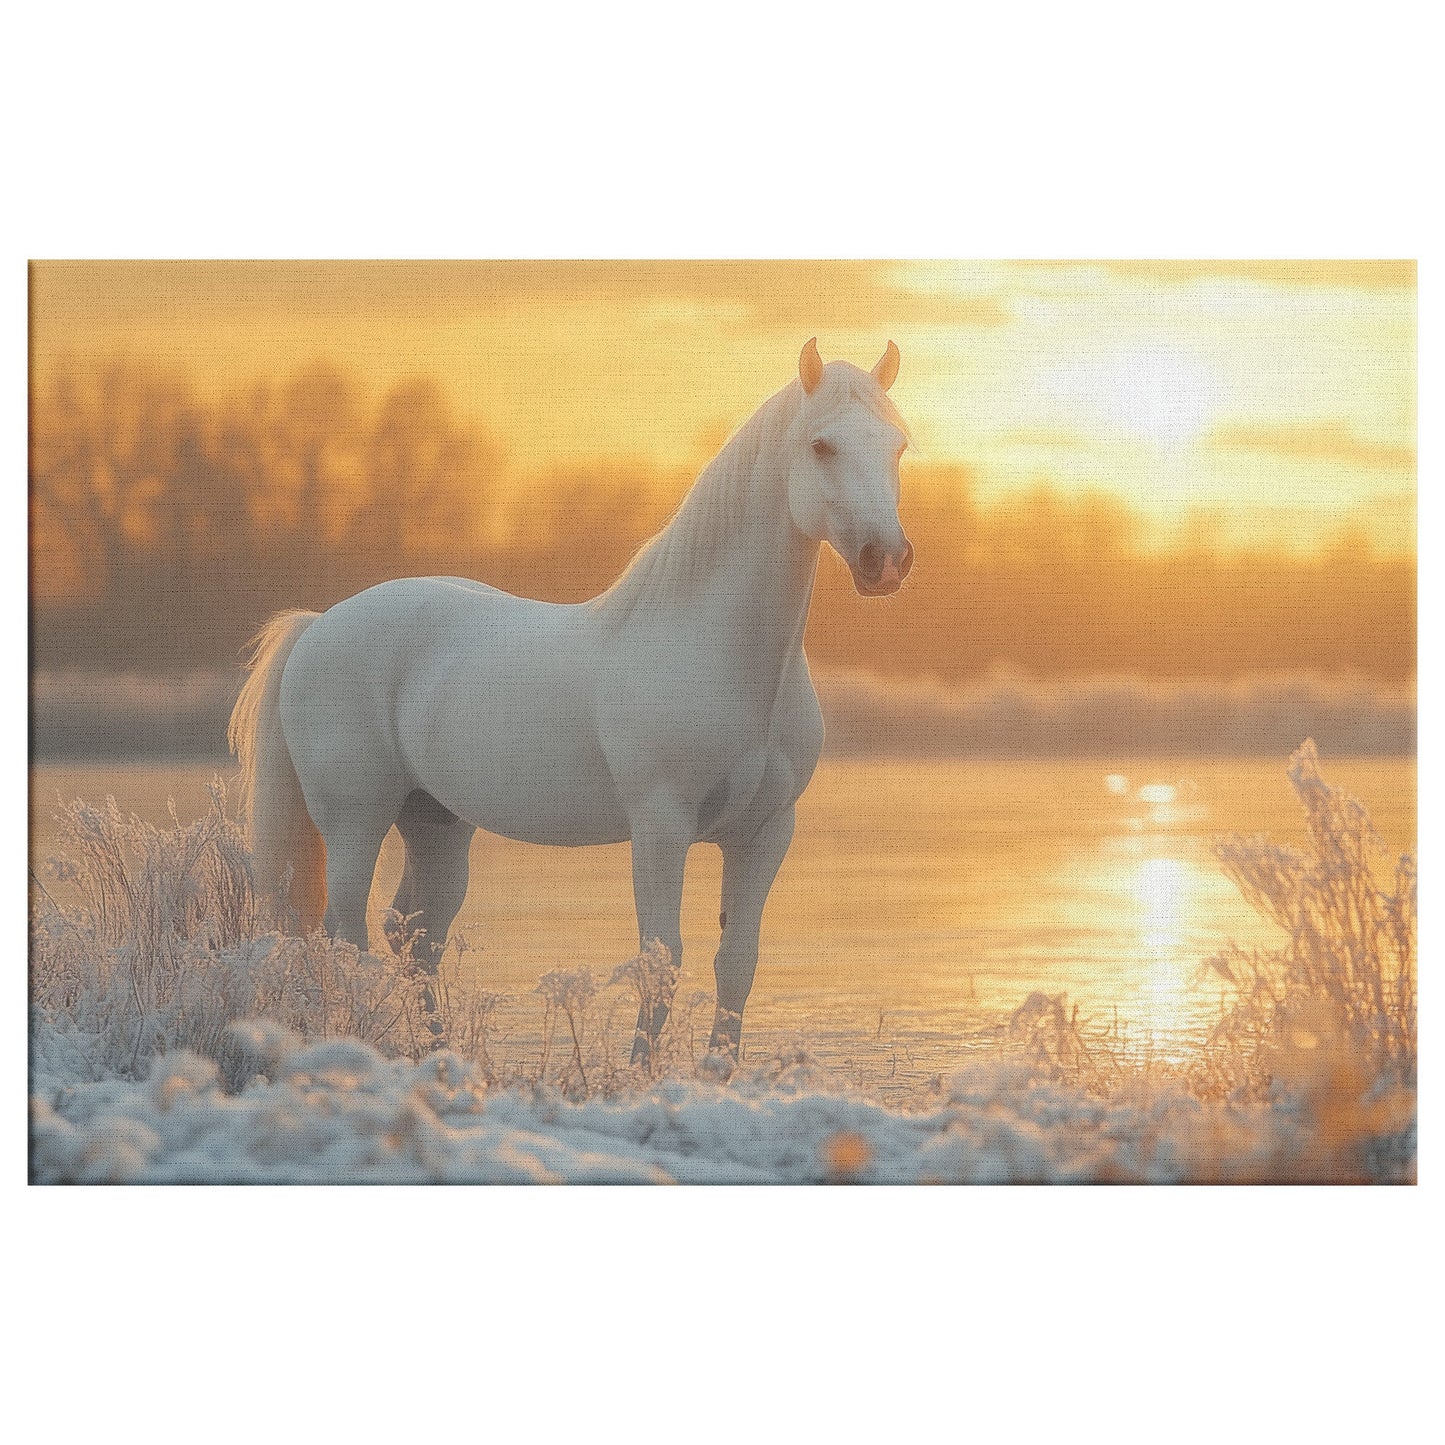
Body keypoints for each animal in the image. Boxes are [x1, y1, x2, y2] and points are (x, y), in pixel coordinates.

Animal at [229, 338, 914, 1069]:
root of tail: (319, 623)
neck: (718, 653)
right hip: (355, 818)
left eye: (897, 445)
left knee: (414, 937)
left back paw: (437, 1057)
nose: (886, 560)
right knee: (345, 937)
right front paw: (640, 1075)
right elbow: (661, 959)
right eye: (821, 445)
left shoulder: (765, 832)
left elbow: (738, 961)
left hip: (436, 822)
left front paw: (718, 1073)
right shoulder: (661, 825)